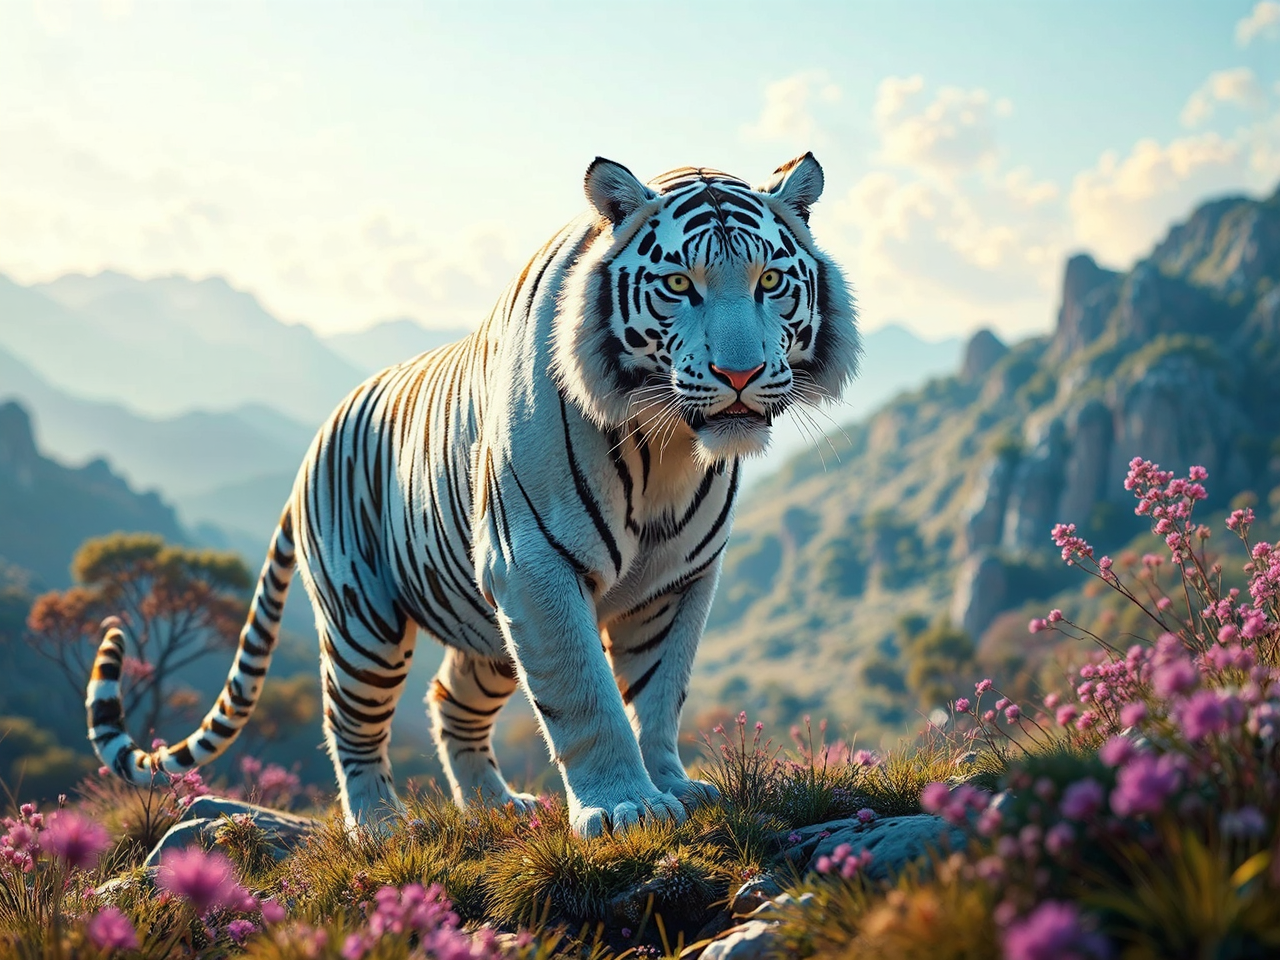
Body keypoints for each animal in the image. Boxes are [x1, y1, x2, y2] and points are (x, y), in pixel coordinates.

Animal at [85, 152, 860, 837]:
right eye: (678, 285)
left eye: (769, 280)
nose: (741, 375)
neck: (666, 446)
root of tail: (315, 443)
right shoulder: (536, 565)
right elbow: (585, 694)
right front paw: (623, 807)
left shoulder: (676, 581)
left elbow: (659, 693)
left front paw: (671, 787)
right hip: (366, 622)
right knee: (352, 724)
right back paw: (380, 826)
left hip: (484, 627)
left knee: (449, 702)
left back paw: (497, 806)